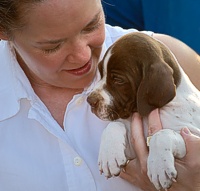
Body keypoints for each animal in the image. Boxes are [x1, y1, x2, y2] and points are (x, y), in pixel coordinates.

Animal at [87, 32, 200, 190]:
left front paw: (159, 168)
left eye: (118, 80)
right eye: (101, 72)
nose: (90, 100)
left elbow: (161, 134)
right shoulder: (132, 152)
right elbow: (114, 124)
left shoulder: (192, 138)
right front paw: (109, 156)